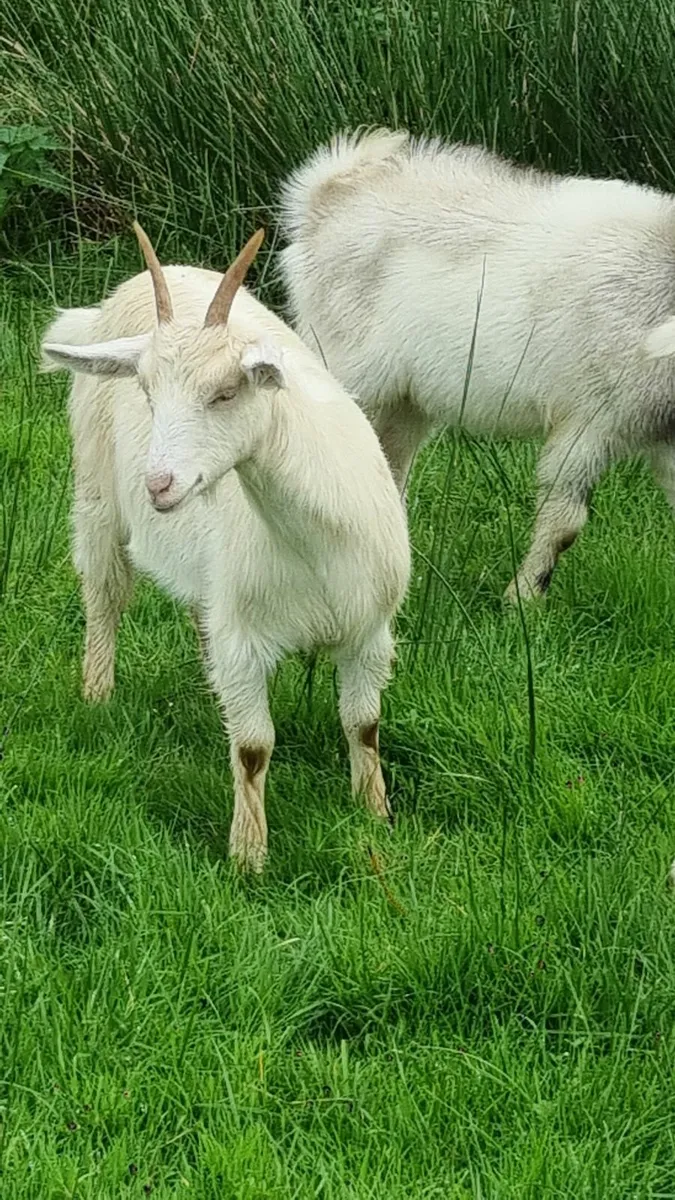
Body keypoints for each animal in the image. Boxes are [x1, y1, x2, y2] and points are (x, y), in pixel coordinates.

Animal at [42, 224, 410, 871]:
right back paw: (97, 695)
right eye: (145, 390)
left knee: (195, 610)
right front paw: (248, 858)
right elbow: (254, 748)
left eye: (227, 392)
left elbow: (363, 725)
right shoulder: (244, 639)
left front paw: (375, 815)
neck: (310, 545)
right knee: (104, 594)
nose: (158, 485)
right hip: (95, 494)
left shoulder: (370, 630)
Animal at [280, 129, 675, 601]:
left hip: (404, 403)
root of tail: (330, 189)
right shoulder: (589, 422)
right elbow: (565, 523)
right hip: (340, 366)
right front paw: (524, 597)